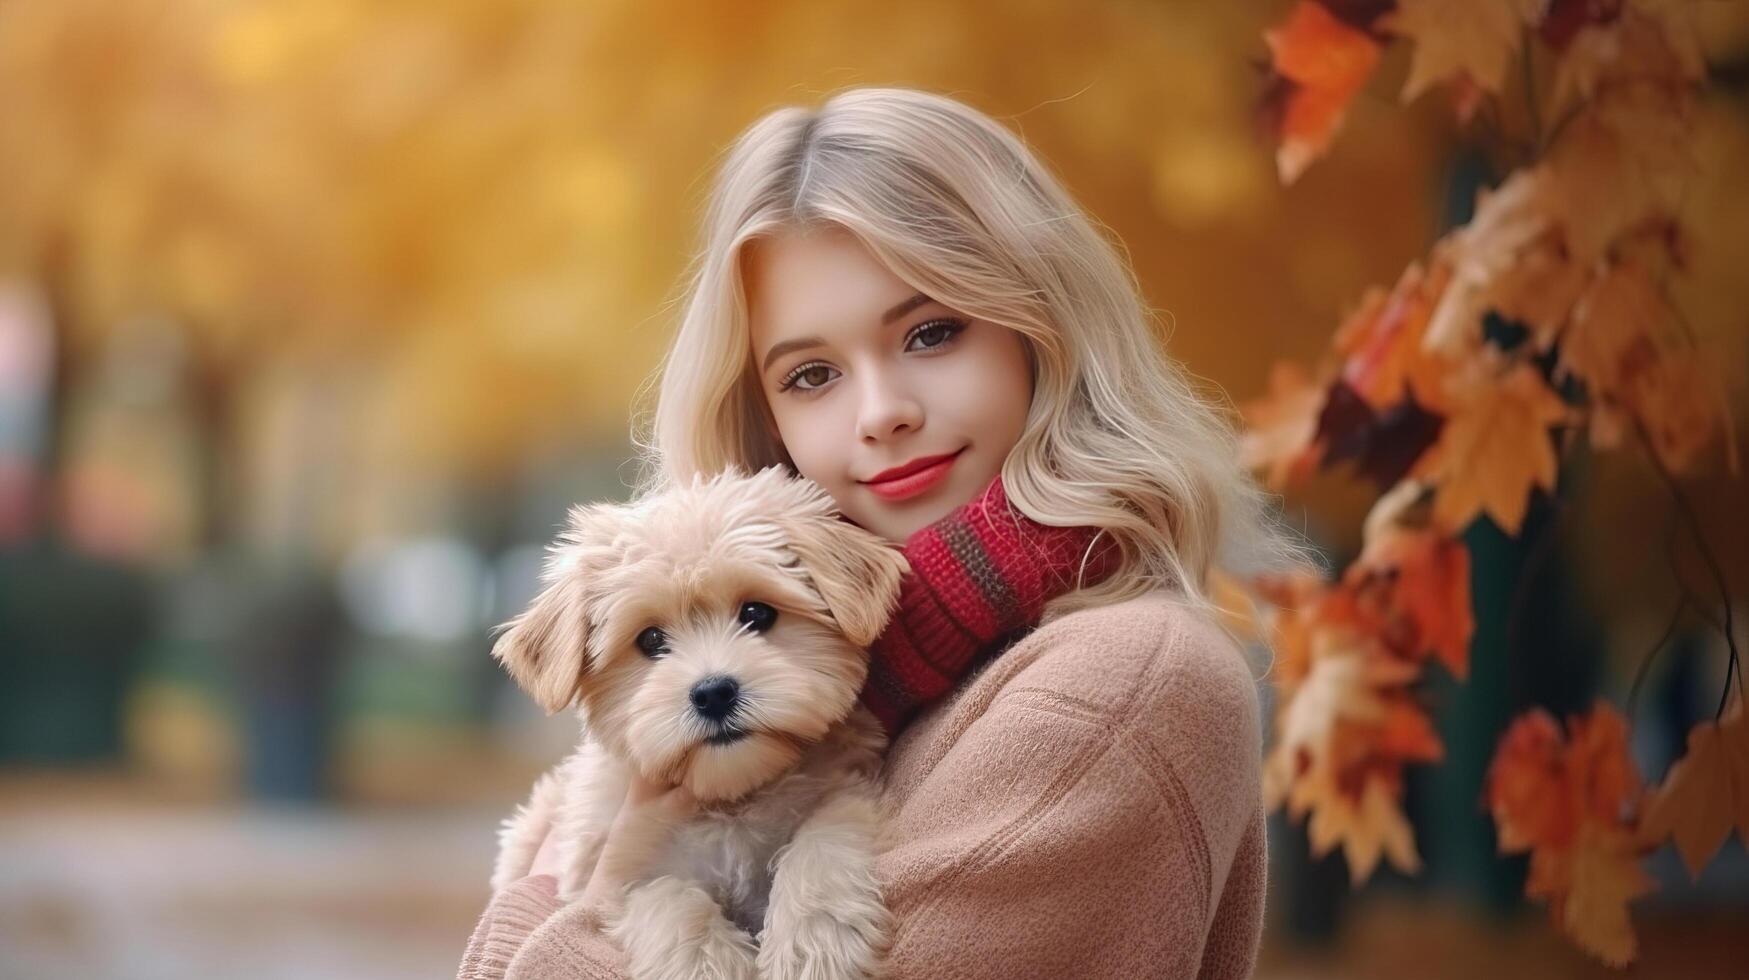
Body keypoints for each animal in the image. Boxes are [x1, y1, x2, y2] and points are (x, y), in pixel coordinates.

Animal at [486, 465, 909, 980]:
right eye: (650, 639)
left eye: (757, 613)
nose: (713, 693)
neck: (732, 796)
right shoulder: (611, 867)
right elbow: (663, 897)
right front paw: (709, 961)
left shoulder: (847, 787)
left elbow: (825, 837)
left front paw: (814, 939)